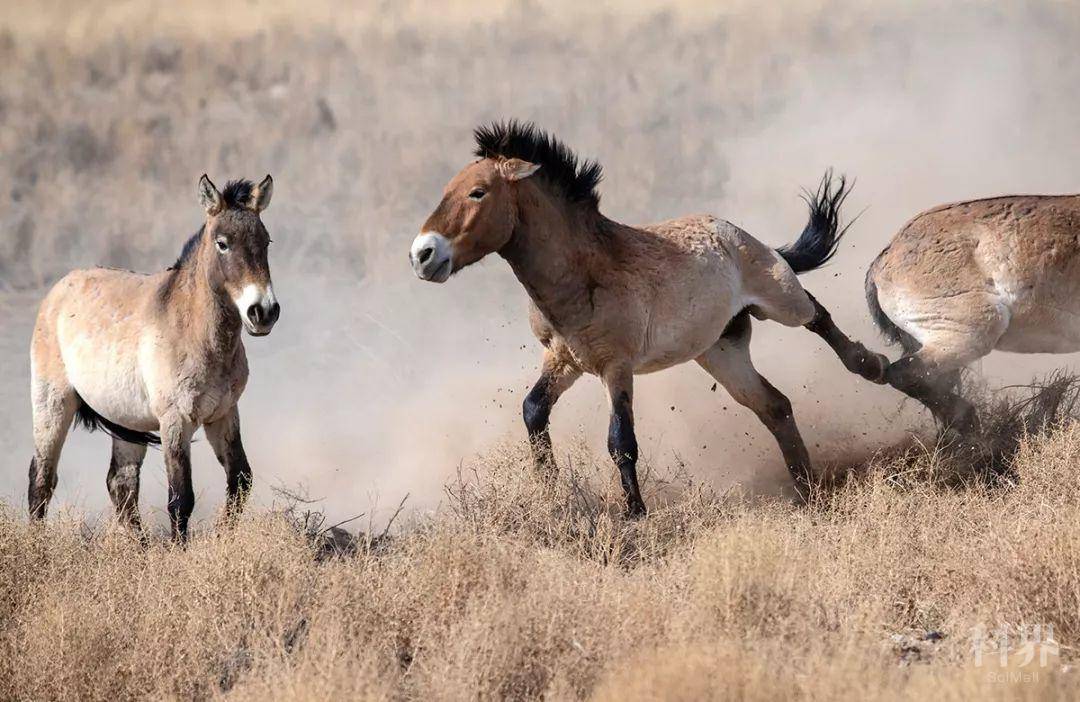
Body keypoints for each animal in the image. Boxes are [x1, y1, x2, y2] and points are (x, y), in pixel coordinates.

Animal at [30, 173, 282, 535]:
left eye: (266, 241)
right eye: (223, 243)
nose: (263, 312)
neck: (196, 333)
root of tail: (59, 289)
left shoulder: (223, 414)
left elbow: (240, 479)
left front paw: (224, 536)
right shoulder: (175, 420)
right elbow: (180, 499)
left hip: (127, 420)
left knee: (120, 483)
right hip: (52, 404)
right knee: (42, 479)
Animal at [408, 121, 889, 514]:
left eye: (478, 192)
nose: (422, 254)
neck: (580, 275)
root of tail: (735, 231)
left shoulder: (616, 366)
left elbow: (621, 441)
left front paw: (635, 515)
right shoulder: (564, 360)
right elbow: (533, 410)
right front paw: (552, 493)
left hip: (777, 299)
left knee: (816, 314)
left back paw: (871, 366)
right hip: (721, 350)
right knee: (775, 405)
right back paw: (807, 489)